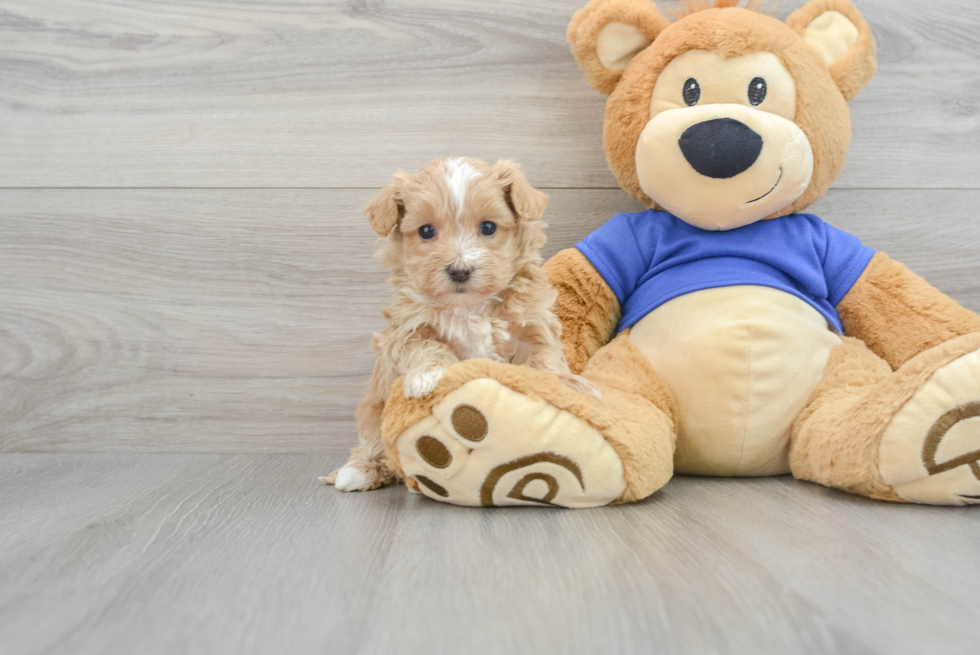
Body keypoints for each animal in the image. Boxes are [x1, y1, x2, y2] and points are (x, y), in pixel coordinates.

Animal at [324, 156, 596, 490]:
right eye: (426, 231)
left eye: (488, 227)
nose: (460, 270)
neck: (468, 307)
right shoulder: (406, 330)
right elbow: (426, 346)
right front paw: (430, 376)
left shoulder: (531, 326)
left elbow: (545, 359)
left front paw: (565, 386)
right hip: (373, 411)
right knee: (374, 445)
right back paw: (357, 471)